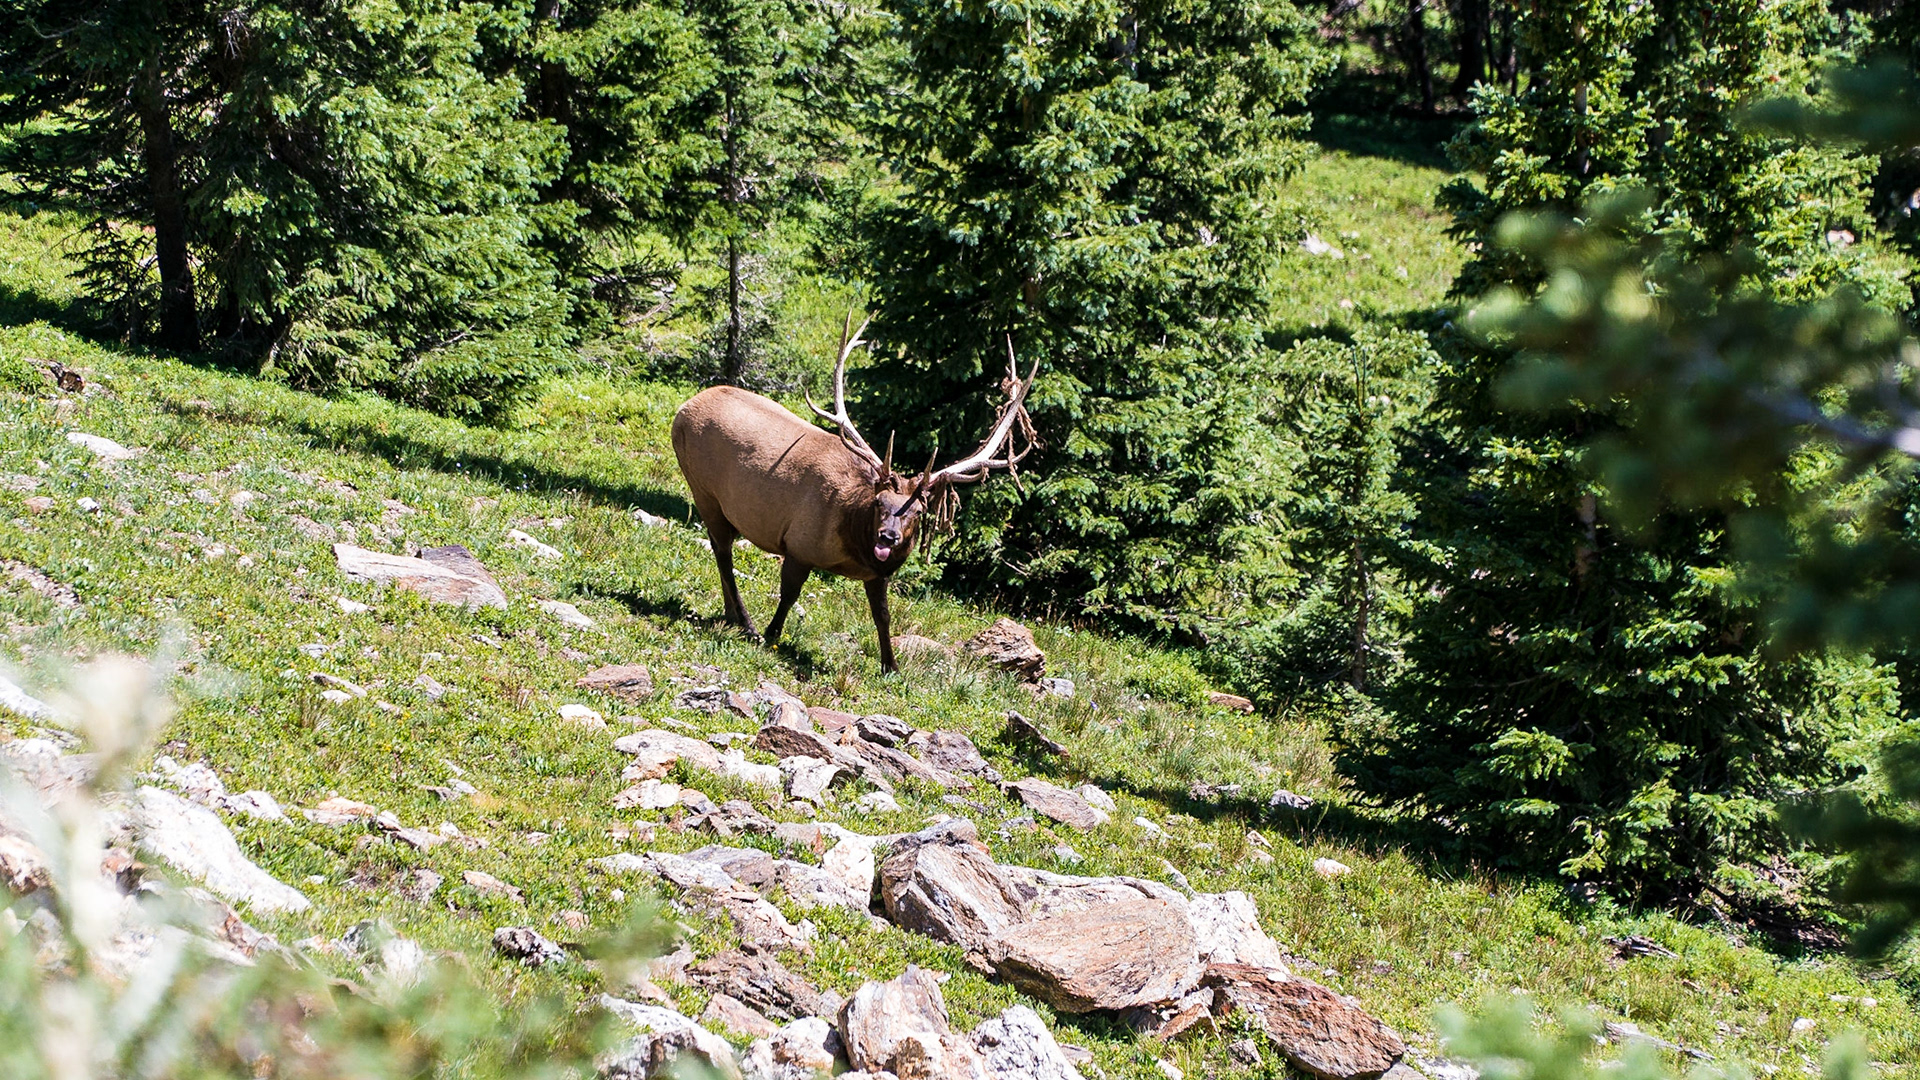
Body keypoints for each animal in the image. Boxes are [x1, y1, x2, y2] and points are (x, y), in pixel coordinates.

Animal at [671, 315, 1038, 672]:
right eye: (879, 502)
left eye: (918, 511)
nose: (888, 537)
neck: (851, 539)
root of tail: (684, 407)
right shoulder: (799, 545)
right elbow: (789, 595)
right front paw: (770, 633)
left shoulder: (877, 574)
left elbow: (882, 616)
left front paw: (891, 665)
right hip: (704, 490)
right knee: (722, 551)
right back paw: (745, 621)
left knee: (720, 547)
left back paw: (732, 614)